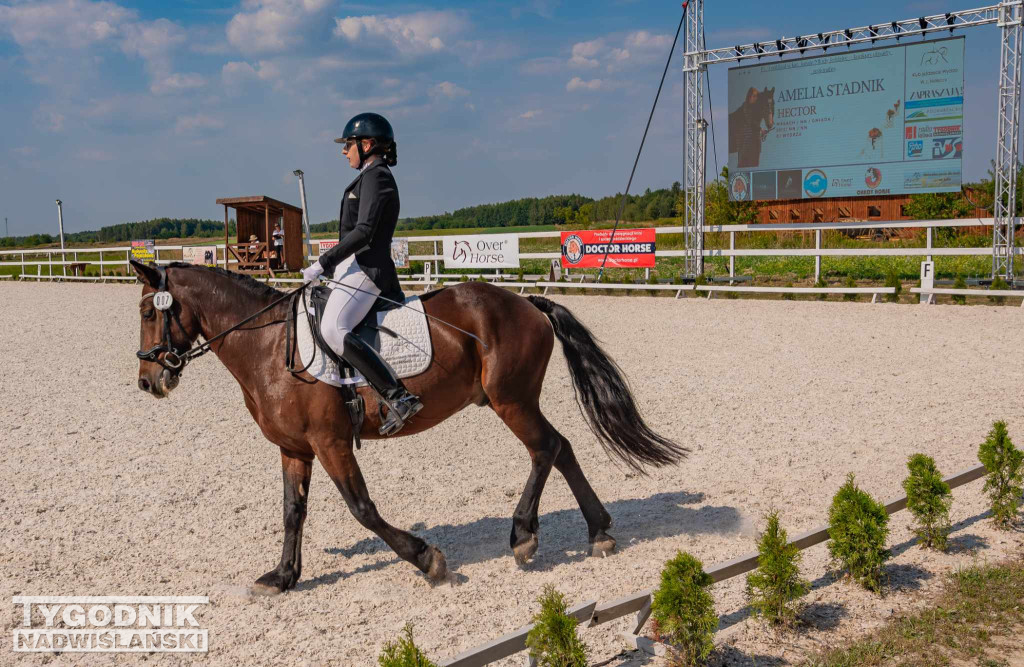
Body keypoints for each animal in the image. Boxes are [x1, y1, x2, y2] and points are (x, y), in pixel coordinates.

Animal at [130, 261, 688, 594]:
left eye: (146, 312)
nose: (147, 382)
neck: (267, 347)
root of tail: (525, 301)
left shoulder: (330, 442)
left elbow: (363, 510)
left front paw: (426, 559)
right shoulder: (295, 449)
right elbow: (292, 513)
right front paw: (284, 576)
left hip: (511, 400)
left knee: (546, 448)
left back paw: (524, 535)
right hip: (516, 400)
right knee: (562, 447)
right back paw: (597, 532)